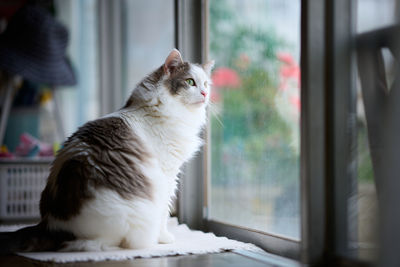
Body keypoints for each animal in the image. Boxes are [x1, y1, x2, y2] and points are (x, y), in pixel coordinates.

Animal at [0, 49, 216, 253]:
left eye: (206, 84)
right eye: (190, 82)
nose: (205, 94)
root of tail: (53, 225)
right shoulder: (167, 175)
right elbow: (165, 210)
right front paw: (164, 238)